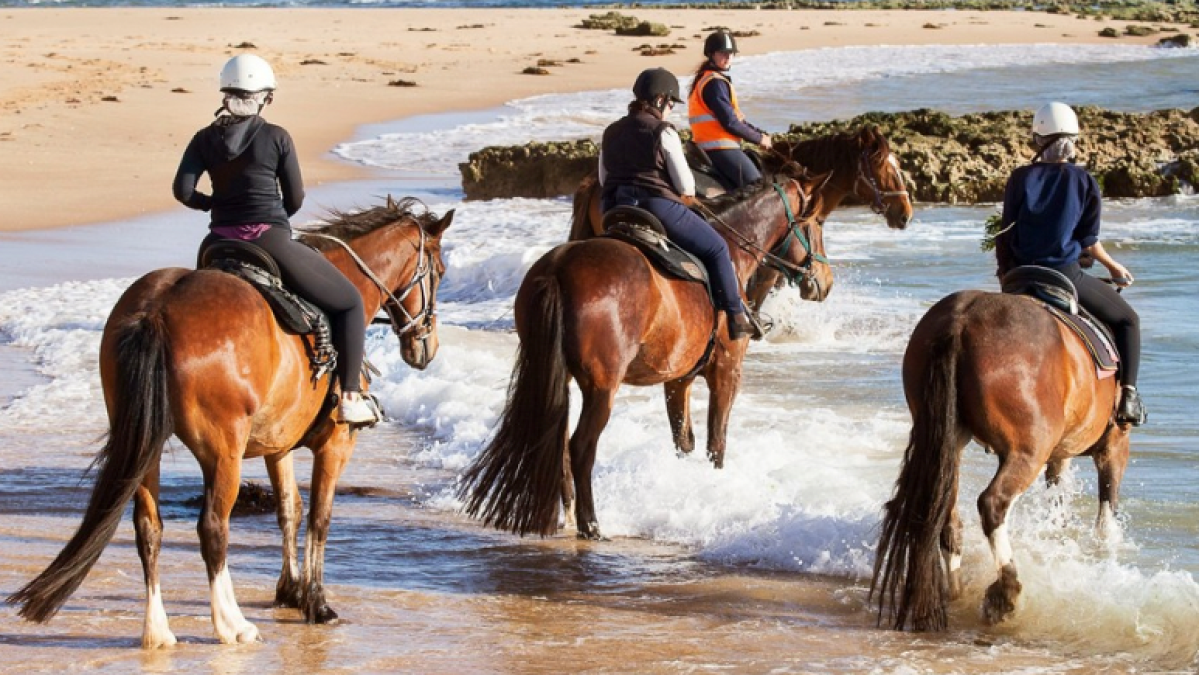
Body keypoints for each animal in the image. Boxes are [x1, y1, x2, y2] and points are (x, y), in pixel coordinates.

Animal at [6, 197, 452, 648]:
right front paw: (316, 603)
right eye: (440, 271)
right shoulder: (336, 444)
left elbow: (289, 509)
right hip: (223, 452)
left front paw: (290, 591)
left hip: (144, 445)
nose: (427, 347)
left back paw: (158, 630)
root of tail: (158, 309)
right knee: (213, 529)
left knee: (148, 528)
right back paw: (230, 623)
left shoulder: (278, 444)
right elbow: (319, 519)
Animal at [458, 176, 833, 541]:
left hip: (555, 374)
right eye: (818, 223)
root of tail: (559, 268)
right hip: (602, 387)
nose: (825, 282)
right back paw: (591, 525)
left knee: (556, 439)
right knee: (581, 446)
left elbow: (683, 441)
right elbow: (716, 443)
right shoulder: (726, 372)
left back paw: (566, 514)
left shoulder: (677, 379)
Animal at [869, 284, 1132, 632]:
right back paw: (1005, 593)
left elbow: (1058, 509)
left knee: (944, 511)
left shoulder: (1059, 455)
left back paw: (953, 591)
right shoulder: (1113, 447)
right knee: (992, 503)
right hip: (1028, 452)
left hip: (948, 440)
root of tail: (961, 319)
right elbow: (1106, 516)